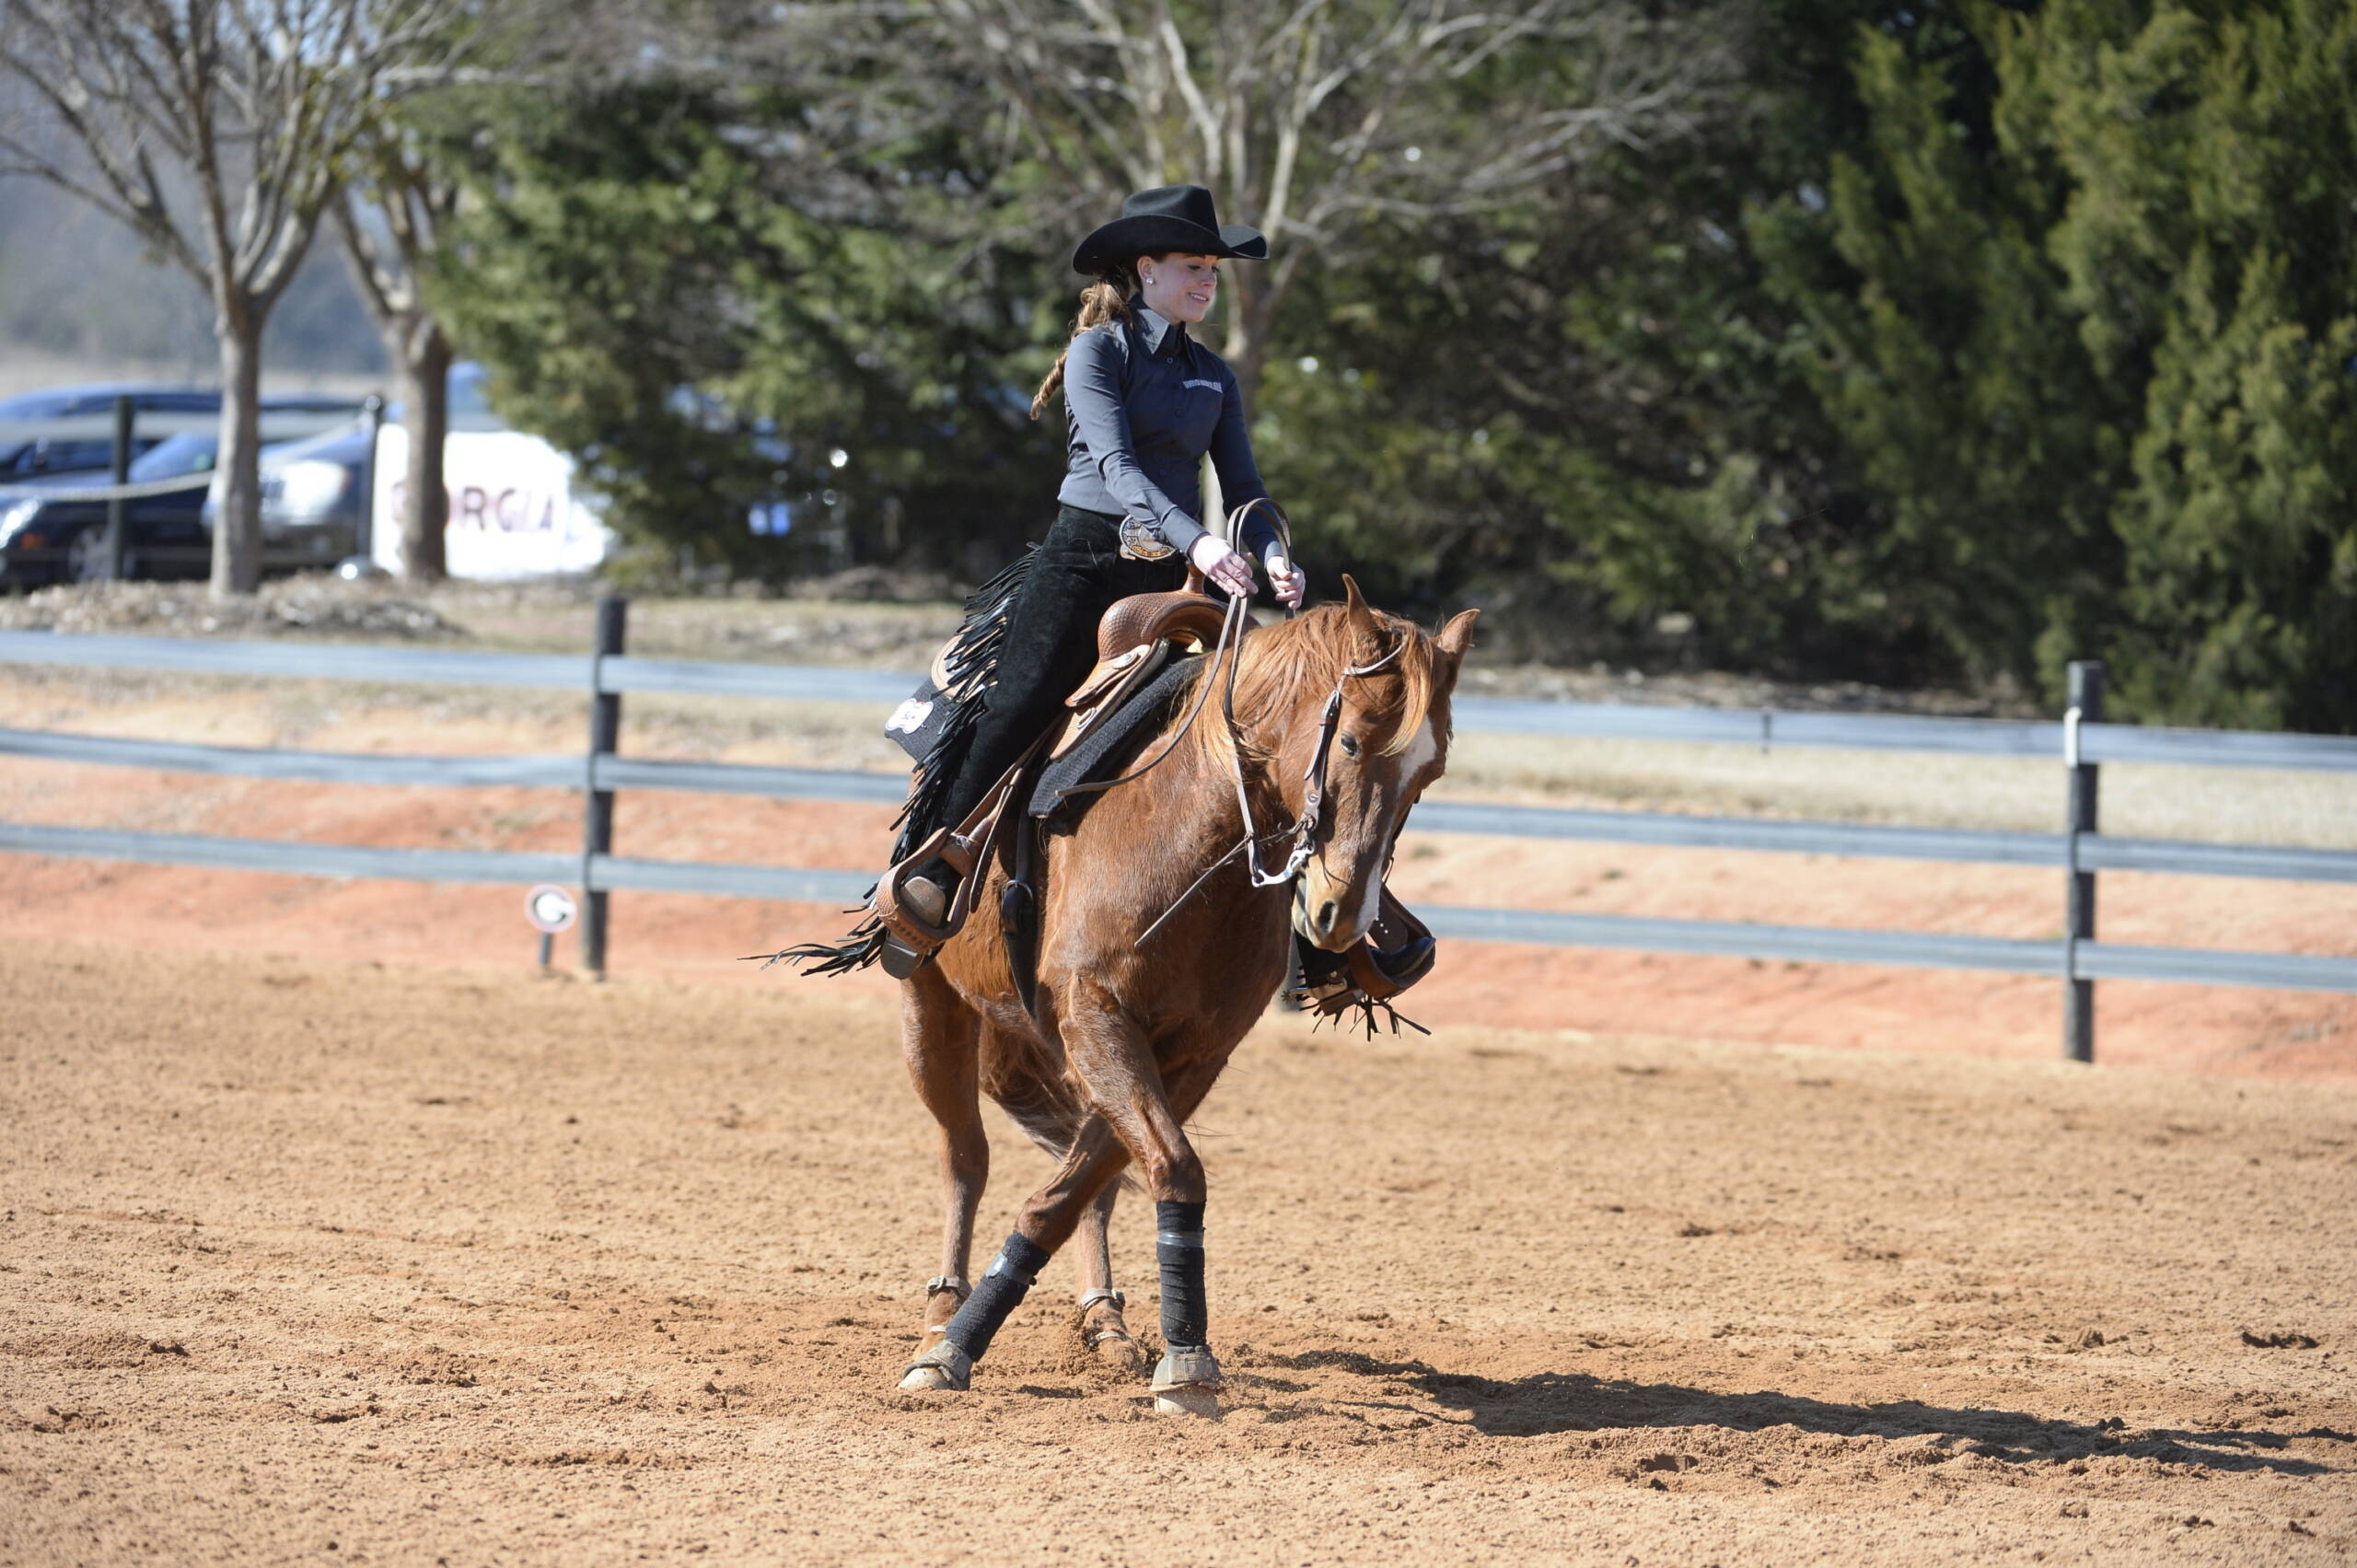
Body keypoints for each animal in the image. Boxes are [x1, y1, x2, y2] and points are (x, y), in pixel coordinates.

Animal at [895, 579, 1470, 1414]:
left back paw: (1103, 1322)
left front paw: (1185, 1352)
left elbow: (1092, 1185)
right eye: (1353, 742)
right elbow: (1155, 1166)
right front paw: (954, 1351)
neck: (1188, 840)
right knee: (964, 1158)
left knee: (1086, 1180)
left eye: (1430, 775)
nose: (1341, 915)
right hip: (930, 1005)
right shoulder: (1097, 1015)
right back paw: (941, 1315)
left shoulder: (1196, 1051)